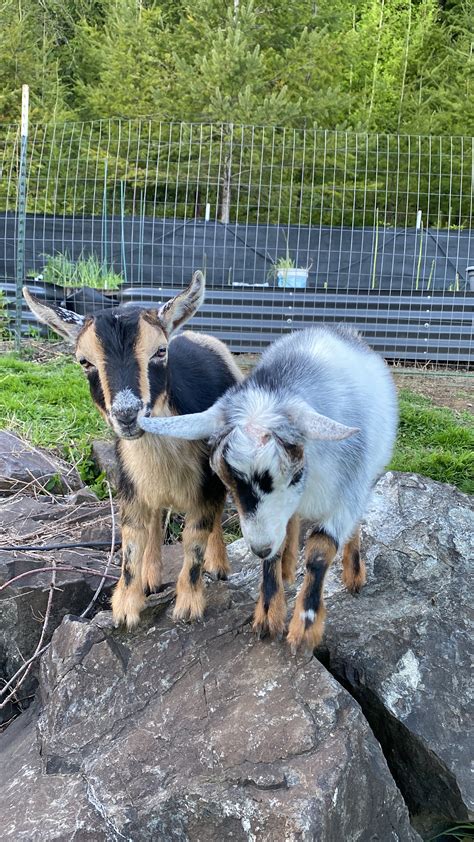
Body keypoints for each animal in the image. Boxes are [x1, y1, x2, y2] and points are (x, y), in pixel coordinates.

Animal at [23, 273, 242, 628]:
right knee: (154, 523)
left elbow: (195, 538)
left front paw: (189, 605)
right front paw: (126, 608)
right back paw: (151, 576)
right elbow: (131, 542)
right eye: (84, 361)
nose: (127, 414)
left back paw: (219, 564)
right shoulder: (129, 484)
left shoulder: (206, 485)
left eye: (160, 352)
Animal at [138, 325, 398, 652]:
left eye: (295, 475)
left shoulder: (347, 494)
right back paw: (287, 568)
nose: (258, 547)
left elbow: (320, 549)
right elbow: (275, 549)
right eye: (226, 479)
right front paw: (267, 615)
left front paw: (305, 628)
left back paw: (353, 574)